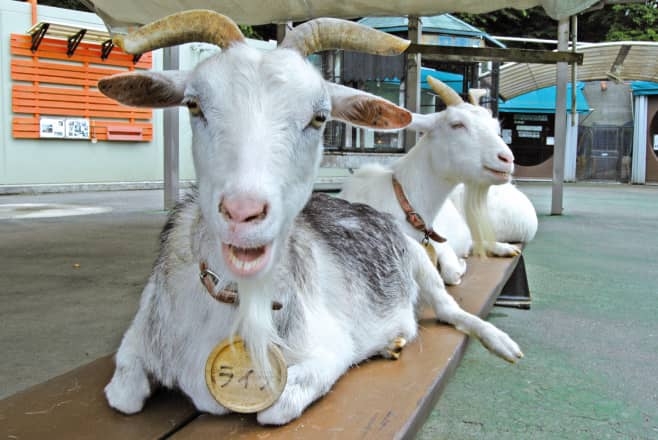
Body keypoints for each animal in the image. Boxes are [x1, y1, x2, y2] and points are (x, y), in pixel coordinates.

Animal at [340, 78, 520, 286]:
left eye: (495, 128)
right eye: (457, 124)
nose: (507, 159)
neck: (406, 205)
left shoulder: (439, 240)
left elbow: (450, 270)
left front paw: (460, 264)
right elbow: (451, 273)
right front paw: (460, 265)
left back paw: (503, 248)